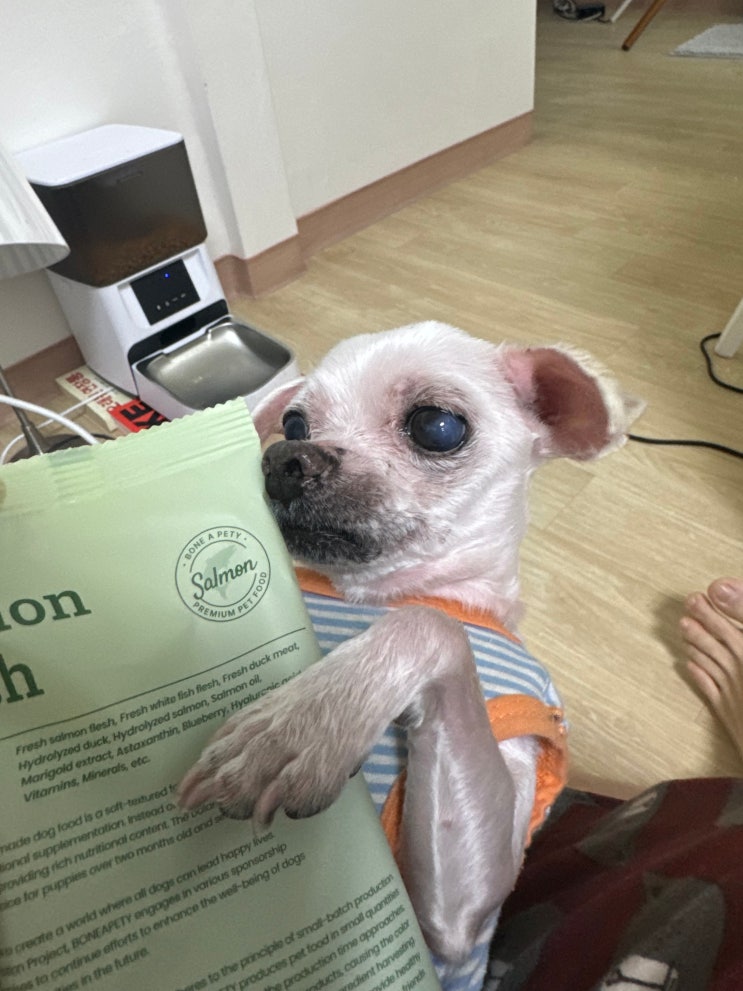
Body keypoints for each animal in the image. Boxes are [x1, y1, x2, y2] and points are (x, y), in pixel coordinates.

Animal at [178, 321, 643, 989]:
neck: (379, 592)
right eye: (293, 424)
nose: (282, 461)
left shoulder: (461, 915)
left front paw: (297, 724)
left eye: (437, 427)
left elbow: (432, 626)